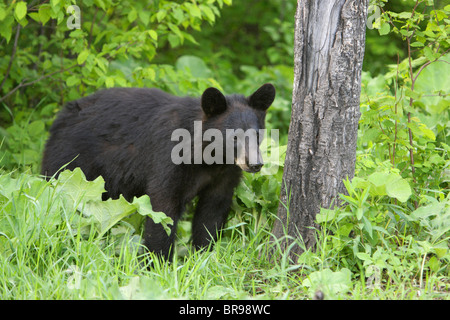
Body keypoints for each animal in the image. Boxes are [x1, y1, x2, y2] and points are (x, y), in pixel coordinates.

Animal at [41, 83, 274, 260]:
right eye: (234, 136)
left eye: (256, 134)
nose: (255, 164)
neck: (208, 158)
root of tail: (62, 115)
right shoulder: (168, 160)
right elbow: (163, 208)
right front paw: (158, 262)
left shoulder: (224, 174)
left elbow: (212, 211)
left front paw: (204, 255)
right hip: (72, 161)